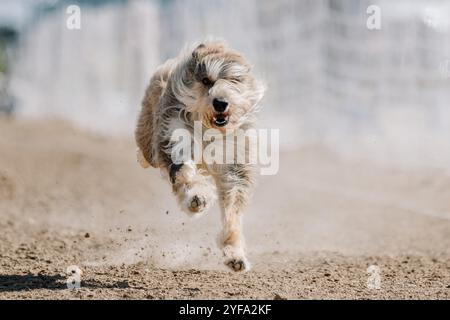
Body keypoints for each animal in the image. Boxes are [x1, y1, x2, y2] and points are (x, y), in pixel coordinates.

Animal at [135, 38, 266, 272]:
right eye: (206, 80)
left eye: (234, 80)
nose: (221, 103)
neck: (209, 128)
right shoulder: (174, 136)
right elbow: (184, 173)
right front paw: (198, 197)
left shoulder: (234, 164)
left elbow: (232, 210)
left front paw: (234, 255)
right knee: (149, 152)